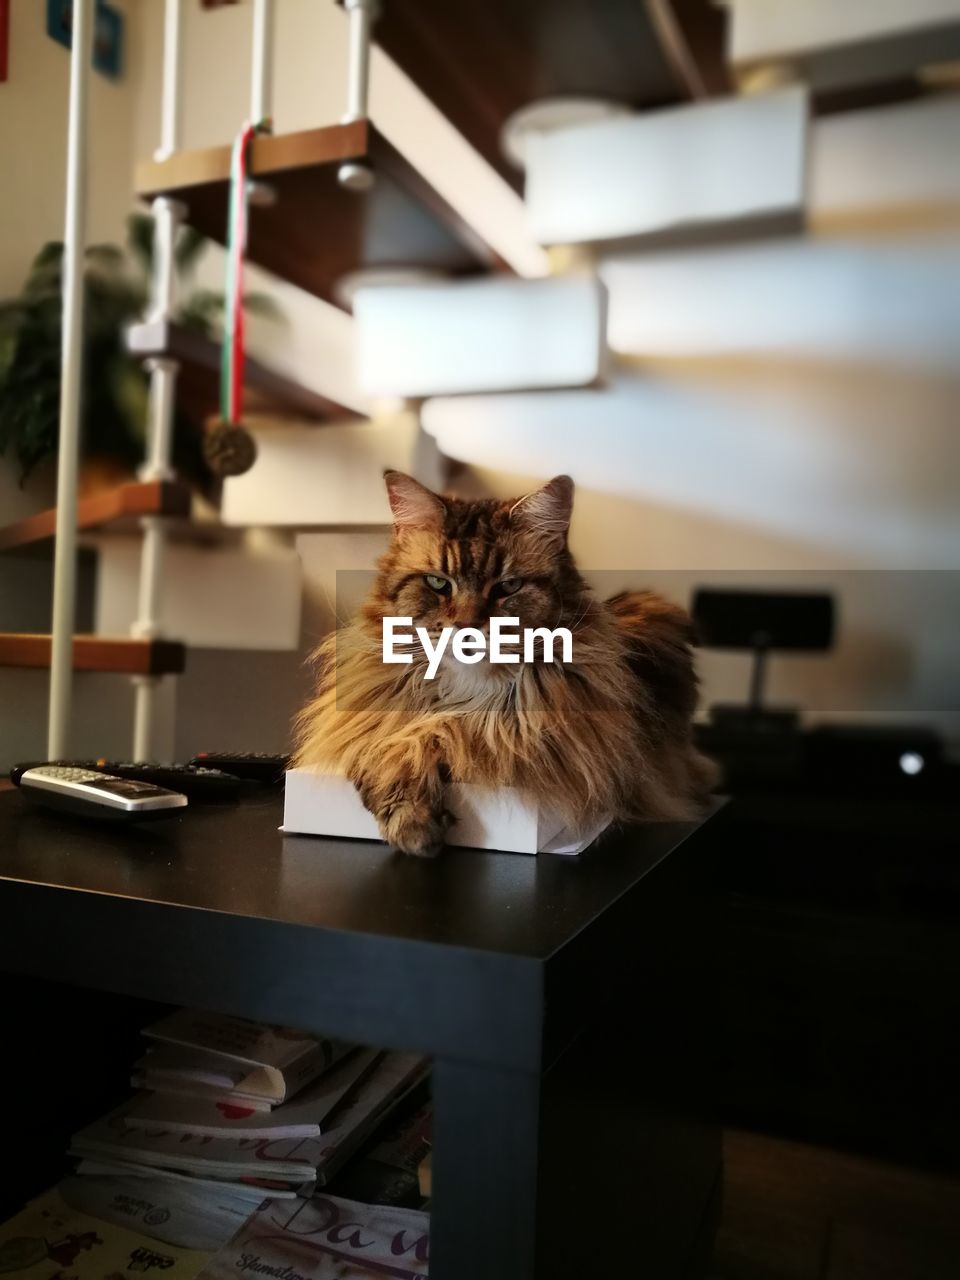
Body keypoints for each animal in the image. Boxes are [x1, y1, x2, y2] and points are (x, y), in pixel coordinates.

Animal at [296, 465, 716, 855]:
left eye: (508, 587)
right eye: (438, 583)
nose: (467, 626)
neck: (471, 695)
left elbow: (438, 732)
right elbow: (387, 733)